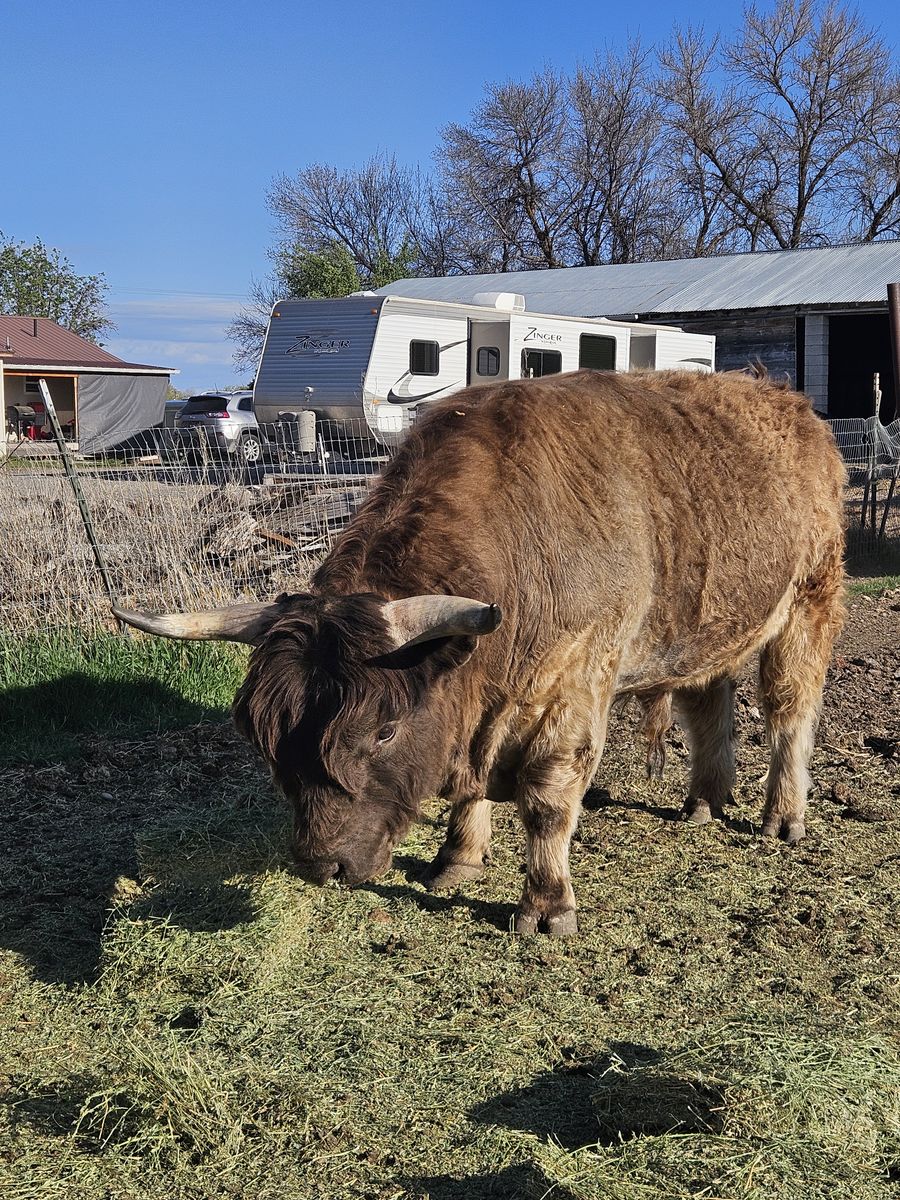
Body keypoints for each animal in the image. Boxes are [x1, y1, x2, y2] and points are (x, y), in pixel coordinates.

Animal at [115, 369, 846, 935]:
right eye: (263, 738)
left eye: (383, 731)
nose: (323, 864)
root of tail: (789, 402)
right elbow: (471, 784)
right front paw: (458, 858)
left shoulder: (577, 678)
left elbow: (548, 795)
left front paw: (546, 906)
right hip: (712, 612)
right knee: (708, 698)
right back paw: (703, 800)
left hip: (810, 597)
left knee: (789, 710)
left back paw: (783, 815)